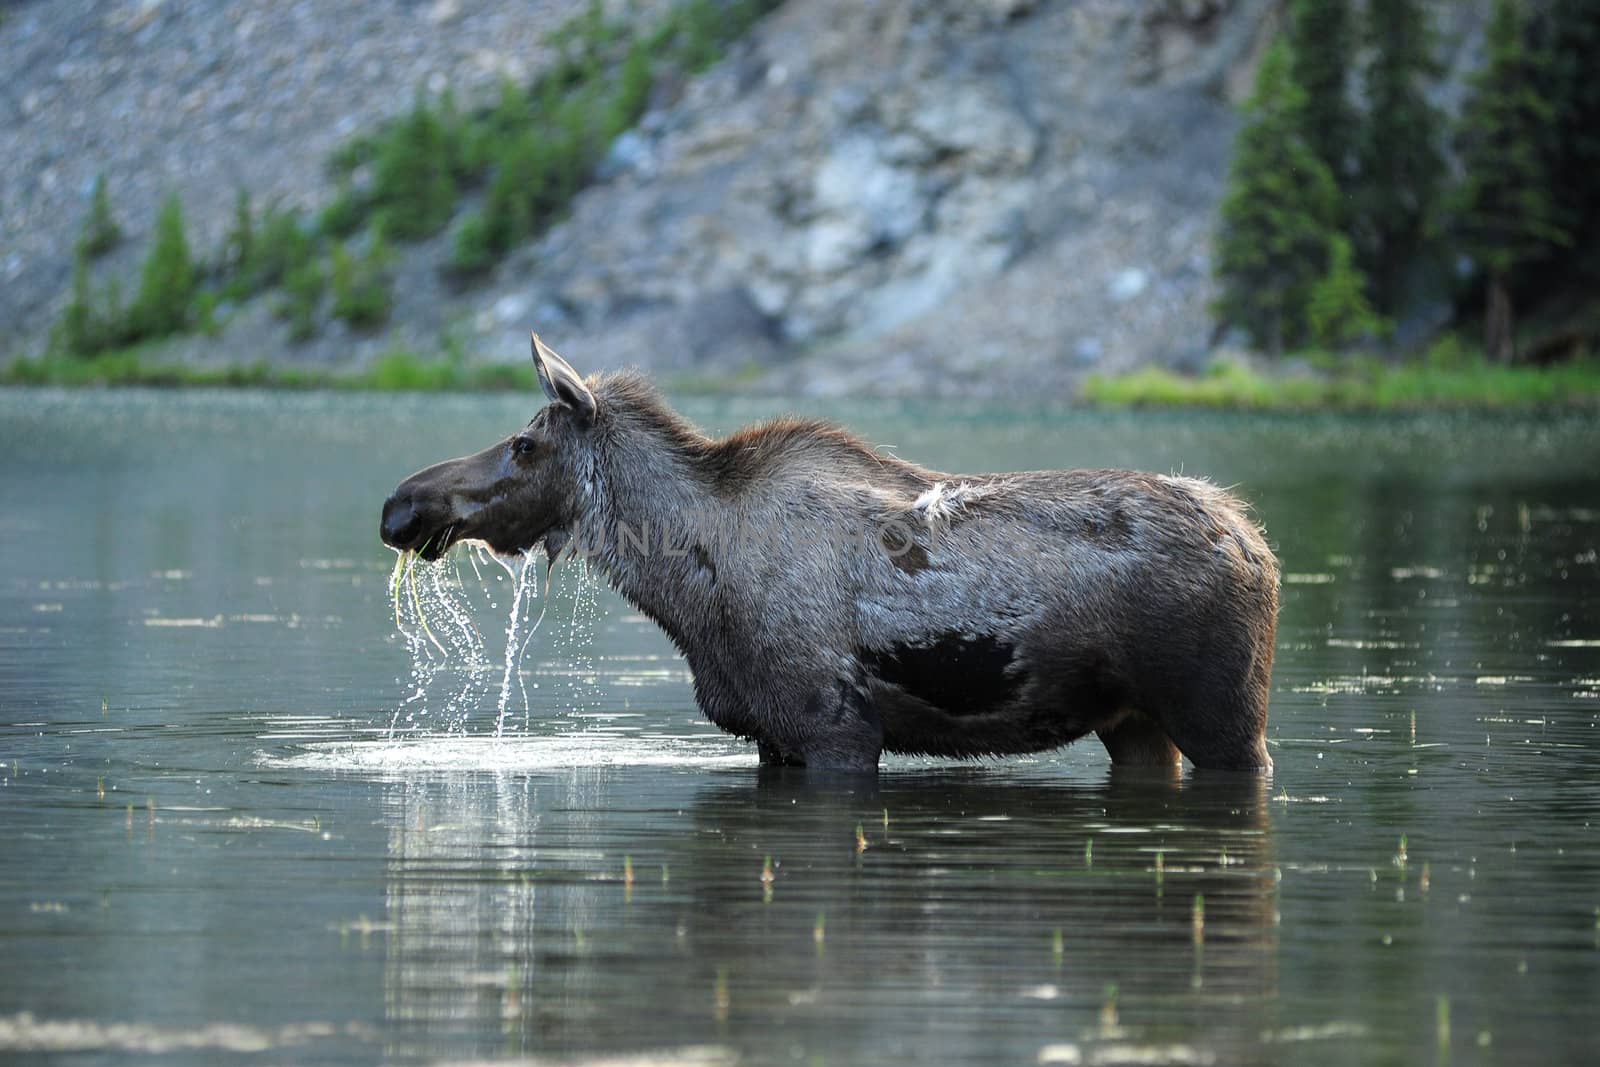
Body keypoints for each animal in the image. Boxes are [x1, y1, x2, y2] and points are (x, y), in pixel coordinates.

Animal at [380, 337, 1280, 771]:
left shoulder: (835, 728)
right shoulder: (771, 735)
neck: (687, 591)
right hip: (1134, 721)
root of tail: (1256, 541)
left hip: (1223, 710)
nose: (399, 506)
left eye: (525, 442)